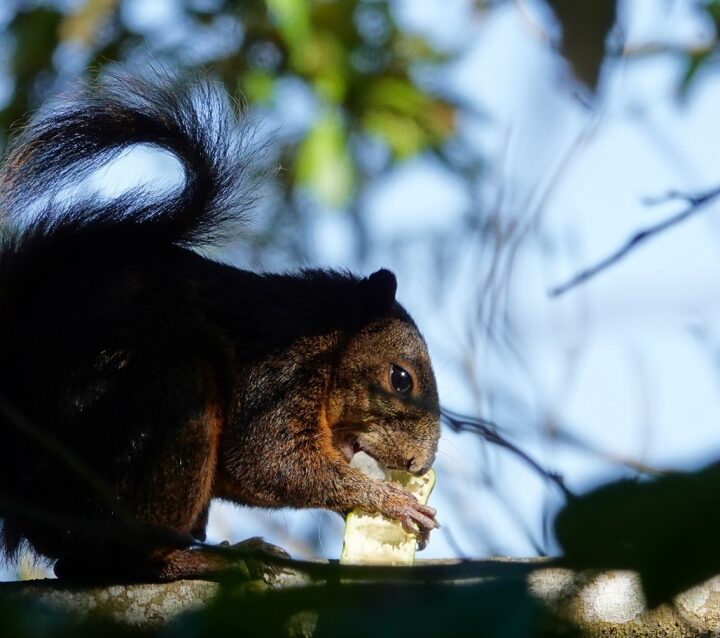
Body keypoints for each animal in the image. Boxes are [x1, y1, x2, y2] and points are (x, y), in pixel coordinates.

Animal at [0, 72, 442, 584]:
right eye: (401, 378)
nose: (416, 463)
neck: (327, 343)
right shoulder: (278, 375)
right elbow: (268, 462)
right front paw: (393, 501)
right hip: (163, 404)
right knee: (109, 561)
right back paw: (206, 559)